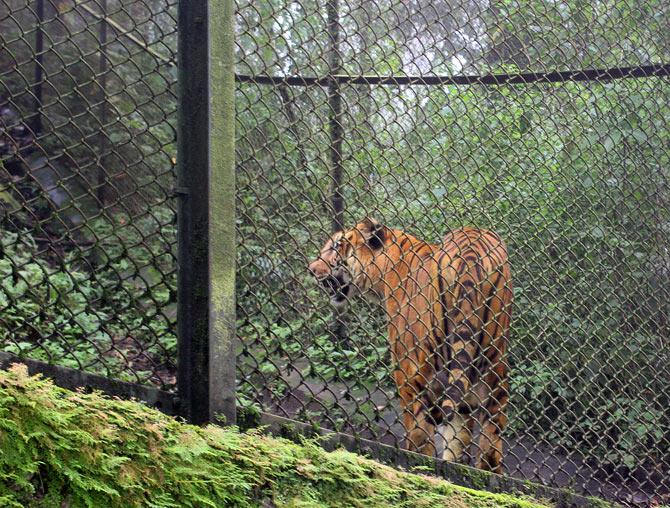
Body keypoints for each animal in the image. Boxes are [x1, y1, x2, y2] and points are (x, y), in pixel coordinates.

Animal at [310, 217, 516, 472]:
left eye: (336, 246)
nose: (311, 269)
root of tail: (471, 251)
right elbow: (458, 442)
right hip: (494, 376)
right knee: (489, 453)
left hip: (415, 376)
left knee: (421, 440)